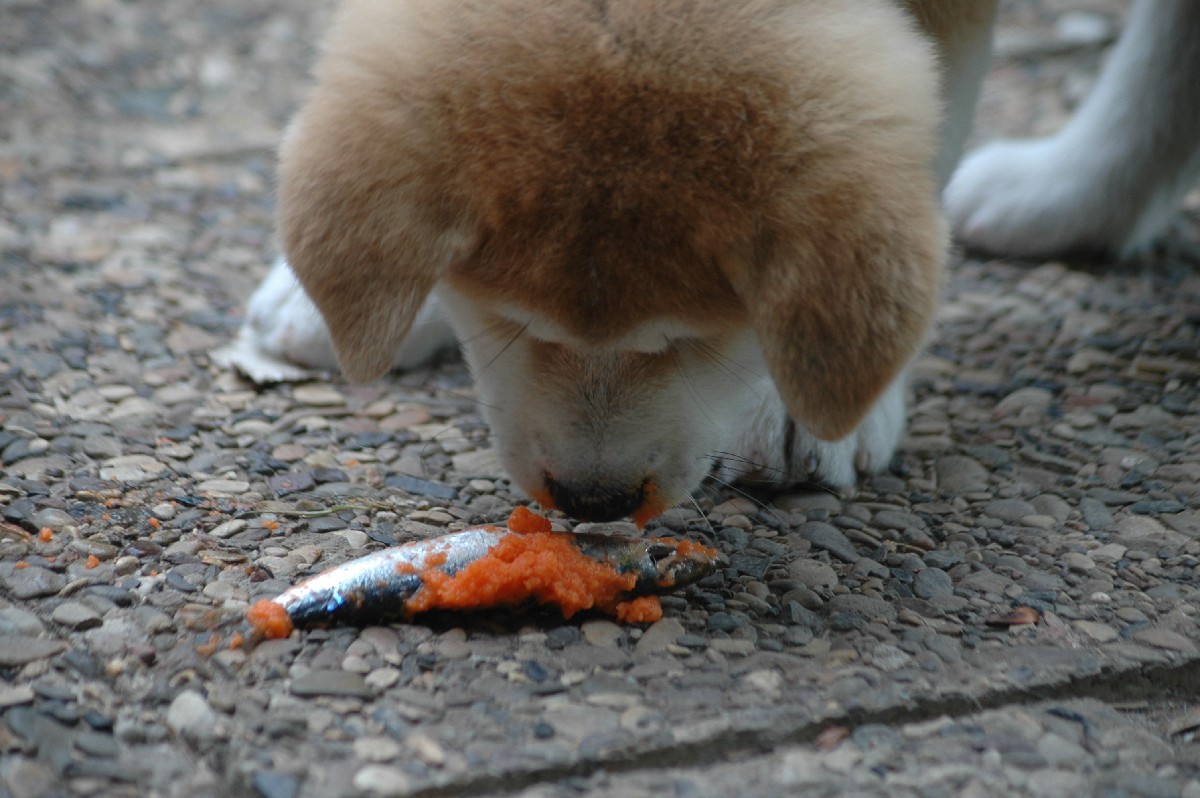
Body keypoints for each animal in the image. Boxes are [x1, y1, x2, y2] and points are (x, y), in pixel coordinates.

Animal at [228, 0, 1200, 524]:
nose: (593, 503)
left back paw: (1070, 190)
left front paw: (805, 399)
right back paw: (1072, 199)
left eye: (692, 338)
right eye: (507, 322)